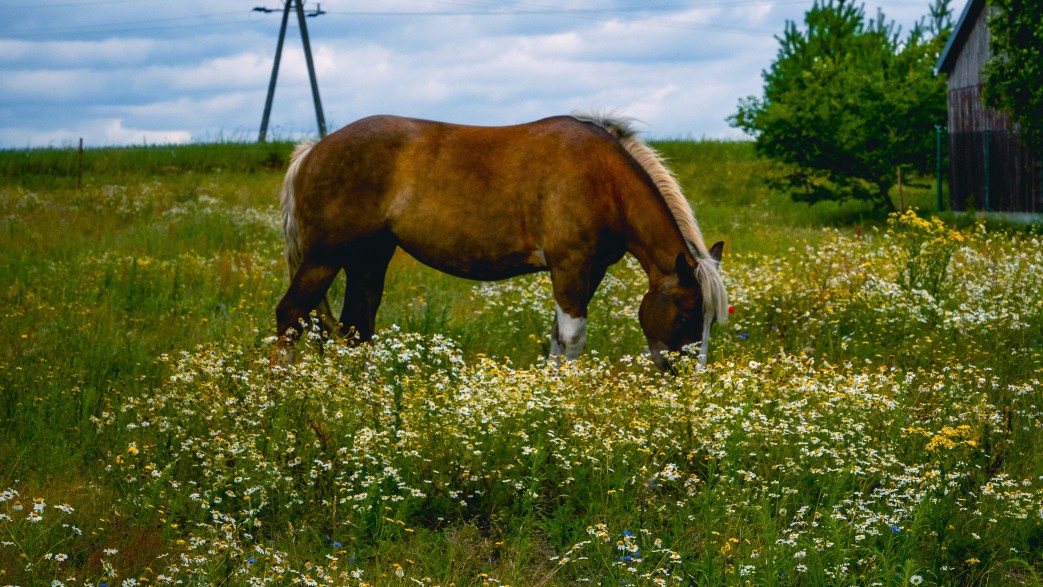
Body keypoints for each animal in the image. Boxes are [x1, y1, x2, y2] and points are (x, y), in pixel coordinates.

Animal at [277, 113, 734, 369]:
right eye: (686, 314)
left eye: (712, 320)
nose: (688, 377)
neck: (603, 179)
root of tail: (313, 151)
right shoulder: (570, 265)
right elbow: (573, 339)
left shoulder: (590, 271)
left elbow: (557, 337)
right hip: (325, 257)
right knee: (290, 316)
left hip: (368, 256)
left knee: (357, 328)